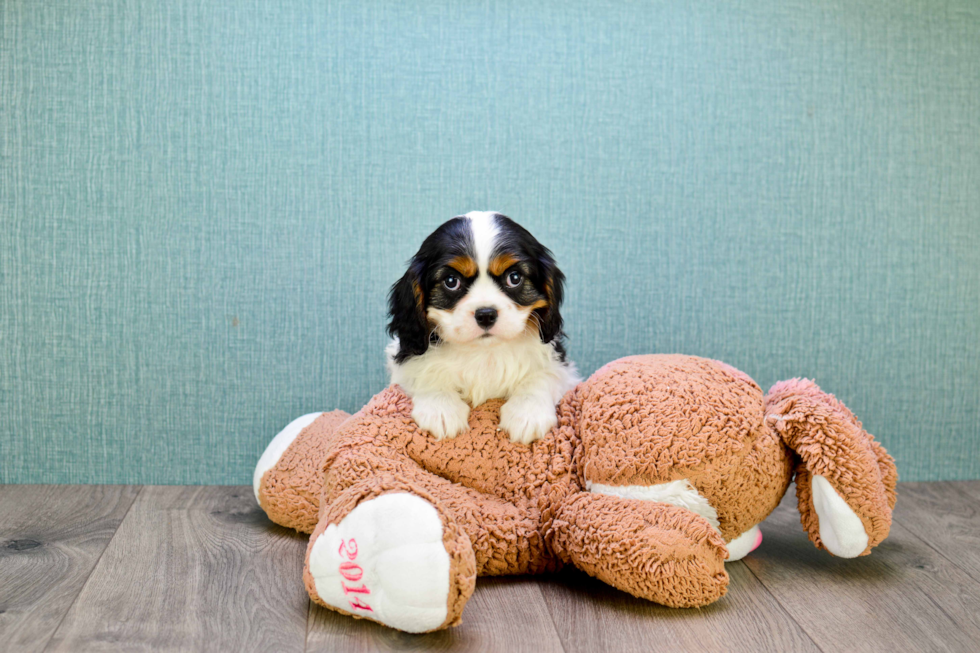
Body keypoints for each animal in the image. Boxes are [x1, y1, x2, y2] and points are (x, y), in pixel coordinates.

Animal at [384, 209, 580, 444]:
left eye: (514, 277)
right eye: (451, 281)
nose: (486, 314)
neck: (484, 351)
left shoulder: (561, 367)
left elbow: (542, 375)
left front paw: (527, 413)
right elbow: (423, 371)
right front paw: (441, 409)